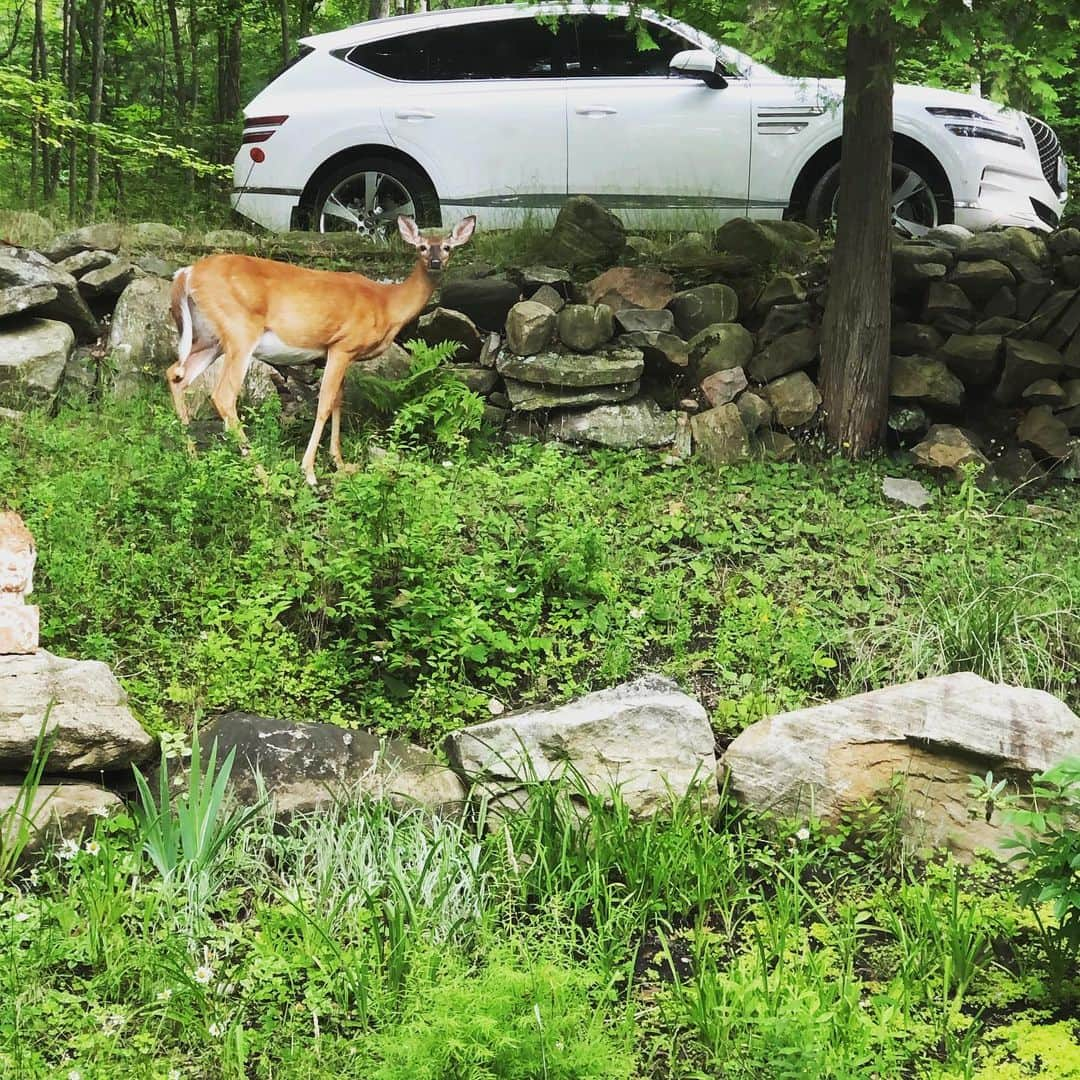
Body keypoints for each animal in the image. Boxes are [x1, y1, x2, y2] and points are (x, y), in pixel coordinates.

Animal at [165, 214, 477, 486]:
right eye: (422, 247)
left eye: (447, 247)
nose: (435, 262)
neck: (387, 304)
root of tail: (186, 273)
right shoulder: (343, 344)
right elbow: (325, 402)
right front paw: (309, 471)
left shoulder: (338, 352)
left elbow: (339, 399)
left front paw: (340, 462)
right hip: (239, 330)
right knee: (222, 395)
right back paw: (263, 475)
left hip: (211, 337)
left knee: (176, 375)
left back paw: (193, 460)